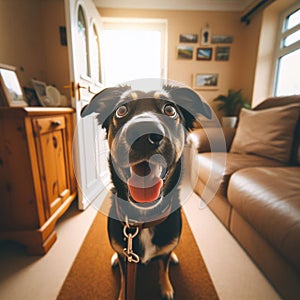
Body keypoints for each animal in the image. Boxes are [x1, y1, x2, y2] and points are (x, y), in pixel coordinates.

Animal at [81, 81, 210, 298]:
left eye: (170, 110)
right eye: (121, 110)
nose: (142, 133)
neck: (143, 218)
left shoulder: (164, 251)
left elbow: (164, 268)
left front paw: (166, 288)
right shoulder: (125, 257)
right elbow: (125, 277)